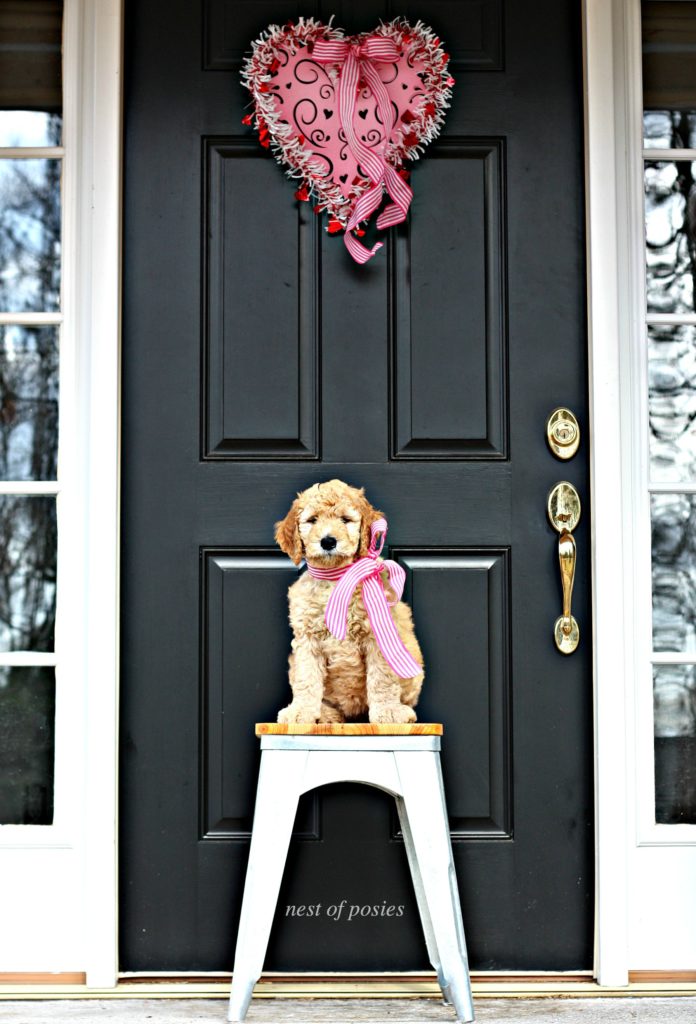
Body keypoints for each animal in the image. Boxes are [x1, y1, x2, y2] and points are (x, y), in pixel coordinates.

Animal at [272, 481, 423, 729]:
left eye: (345, 519)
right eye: (312, 520)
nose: (328, 541)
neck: (337, 579)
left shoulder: (378, 636)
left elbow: (382, 678)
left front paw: (388, 711)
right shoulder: (307, 640)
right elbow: (307, 678)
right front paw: (300, 711)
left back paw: (402, 711)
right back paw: (325, 714)